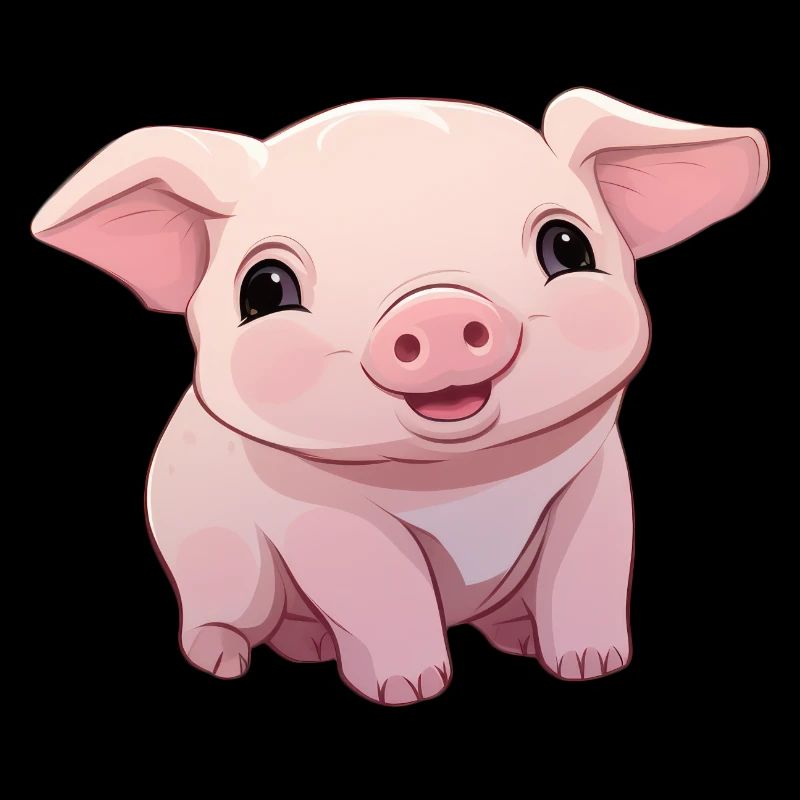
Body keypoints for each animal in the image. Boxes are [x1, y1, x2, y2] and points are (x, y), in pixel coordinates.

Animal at [32, 90, 768, 704]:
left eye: (567, 246)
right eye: (265, 289)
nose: (438, 312)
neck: (465, 485)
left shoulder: (597, 483)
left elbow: (586, 566)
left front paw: (595, 667)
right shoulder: (318, 515)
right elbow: (384, 590)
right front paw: (408, 691)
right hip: (211, 556)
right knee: (219, 613)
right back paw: (225, 663)